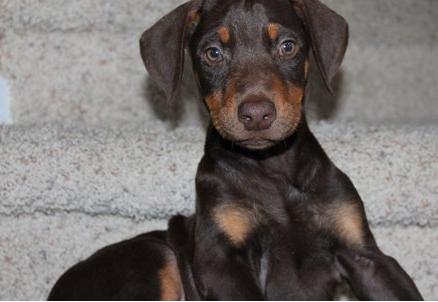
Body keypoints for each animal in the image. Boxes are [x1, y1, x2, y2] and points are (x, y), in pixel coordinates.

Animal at [48, 1, 424, 300]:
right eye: (213, 53)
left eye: (288, 46)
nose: (256, 114)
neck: (272, 168)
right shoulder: (222, 263)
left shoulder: (367, 257)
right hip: (156, 257)